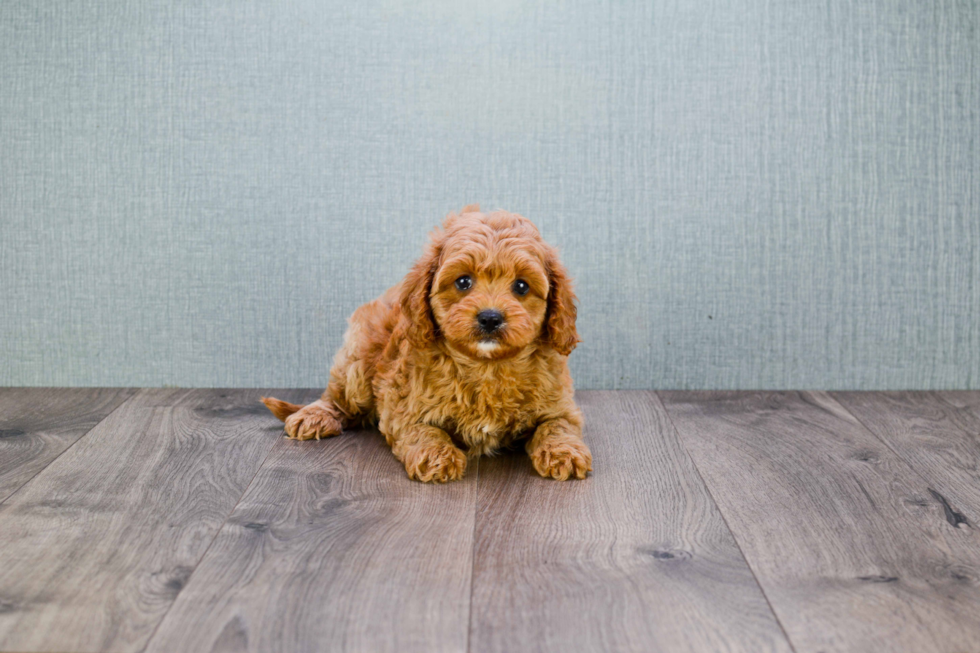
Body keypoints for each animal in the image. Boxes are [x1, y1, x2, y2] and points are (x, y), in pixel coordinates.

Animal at [260, 206, 588, 482]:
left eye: (521, 286)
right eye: (463, 282)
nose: (490, 317)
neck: (487, 365)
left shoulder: (560, 405)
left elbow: (557, 426)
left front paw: (565, 453)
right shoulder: (403, 407)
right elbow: (423, 430)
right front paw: (436, 457)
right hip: (359, 364)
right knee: (337, 397)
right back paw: (314, 416)